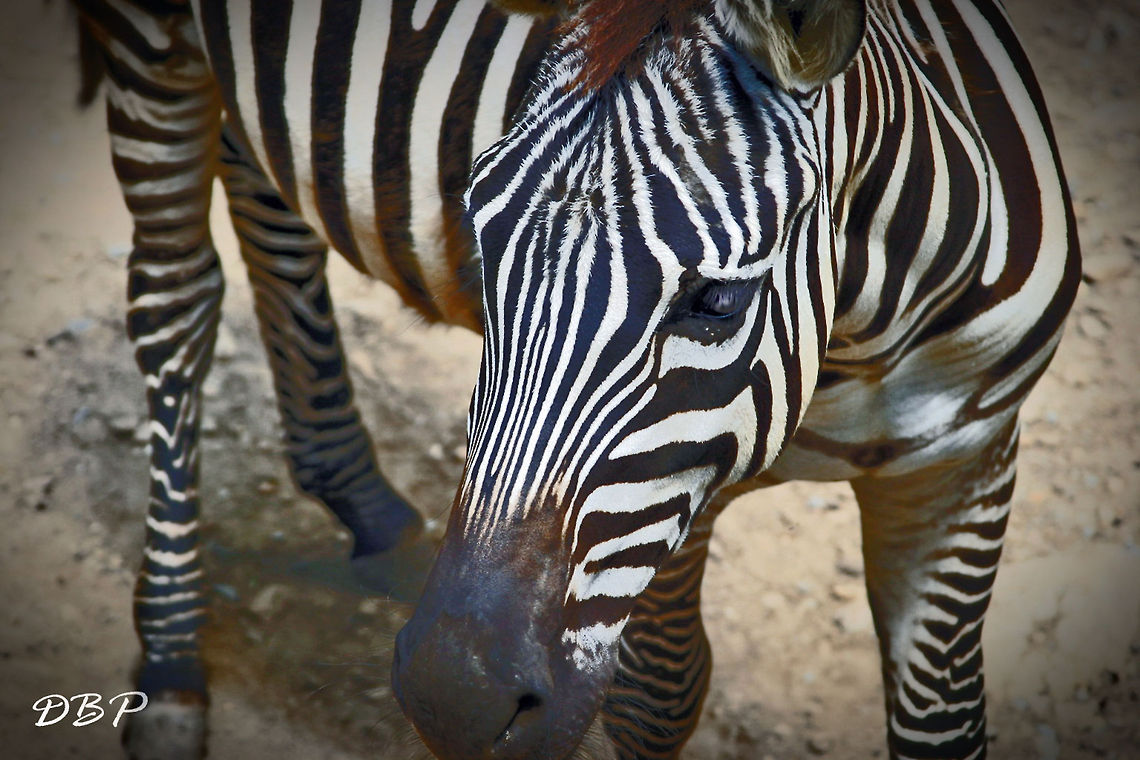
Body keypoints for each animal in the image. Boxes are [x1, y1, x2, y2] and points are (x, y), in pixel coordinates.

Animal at [390, 0, 1079, 759]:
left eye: (719, 301)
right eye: (482, 246)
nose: (453, 700)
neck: (870, 333)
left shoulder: (964, 462)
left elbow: (942, 723)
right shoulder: (683, 493)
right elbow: (656, 695)